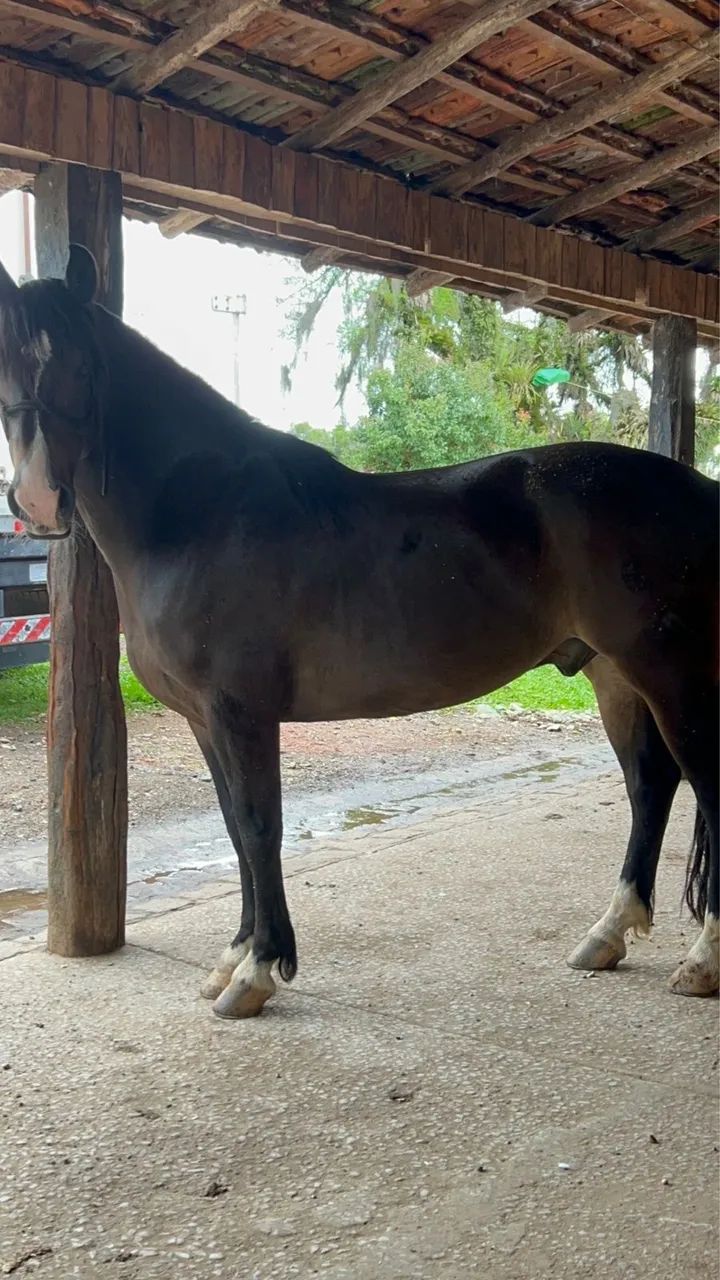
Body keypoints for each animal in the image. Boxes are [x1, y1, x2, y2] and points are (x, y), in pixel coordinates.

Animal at [0, 246, 716, 1018]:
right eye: (5, 360)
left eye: (81, 365)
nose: (37, 501)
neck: (199, 515)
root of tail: (701, 491)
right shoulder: (203, 719)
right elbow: (233, 826)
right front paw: (233, 958)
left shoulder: (240, 711)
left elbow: (259, 826)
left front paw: (259, 971)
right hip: (613, 674)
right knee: (651, 786)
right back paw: (607, 935)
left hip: (670, 674)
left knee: (704, 788)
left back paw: (702, 961)